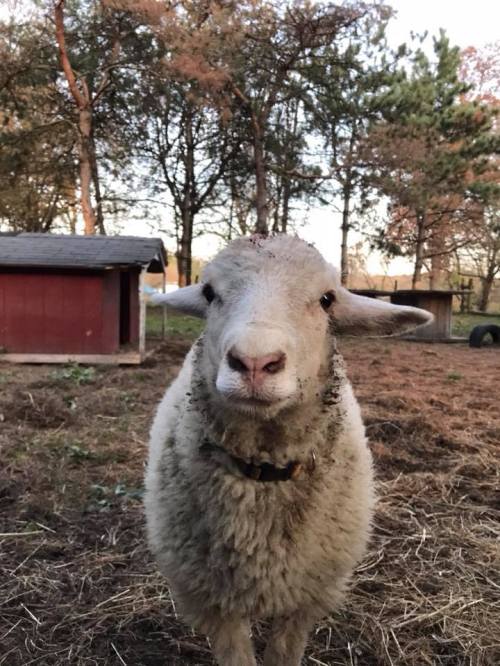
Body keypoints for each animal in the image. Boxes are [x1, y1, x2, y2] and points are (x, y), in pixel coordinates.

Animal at [146, 234, 432, 666]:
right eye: (209, 293)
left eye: (327, 299)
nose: (254, 362)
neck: (263, 473)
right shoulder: (213, 602)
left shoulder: (307, 598)